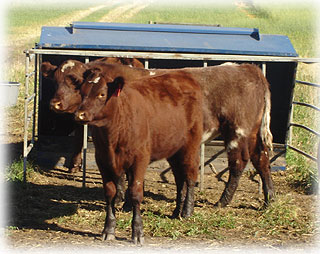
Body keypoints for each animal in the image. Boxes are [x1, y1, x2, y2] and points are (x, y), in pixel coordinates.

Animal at [74, 71, 202, 244]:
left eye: (102, 94)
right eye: (82, 92)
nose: (80, 115)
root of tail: (183, 75)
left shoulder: (140, 159)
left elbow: (135, 193)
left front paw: (137, 232)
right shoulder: (102, 160)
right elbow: (110, 193)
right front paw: (108, 229)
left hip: (191, 146)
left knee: (190, 176)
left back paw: (187, 211)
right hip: (173, 150)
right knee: (179, 179)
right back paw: (176, 211)